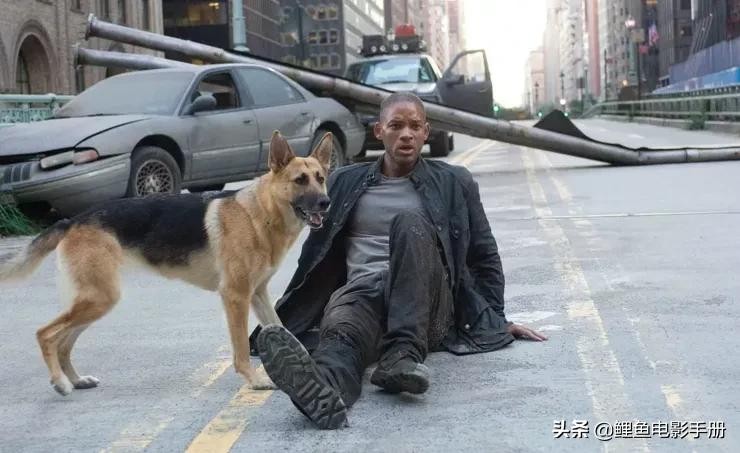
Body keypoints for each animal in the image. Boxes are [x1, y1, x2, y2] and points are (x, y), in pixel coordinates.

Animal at [0, 130, 332, 395]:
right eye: (299, 180)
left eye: (321, 179)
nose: (326, 203)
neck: (260, 213)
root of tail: (73, 221)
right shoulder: (236, 297)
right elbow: (239, 348)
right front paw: (255, 380)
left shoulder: (258, 295)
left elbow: (284, 330)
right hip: (98, 299)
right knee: (46, 335)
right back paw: (60, 382)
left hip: (94, 302)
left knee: (64, 343)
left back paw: (76, 379)